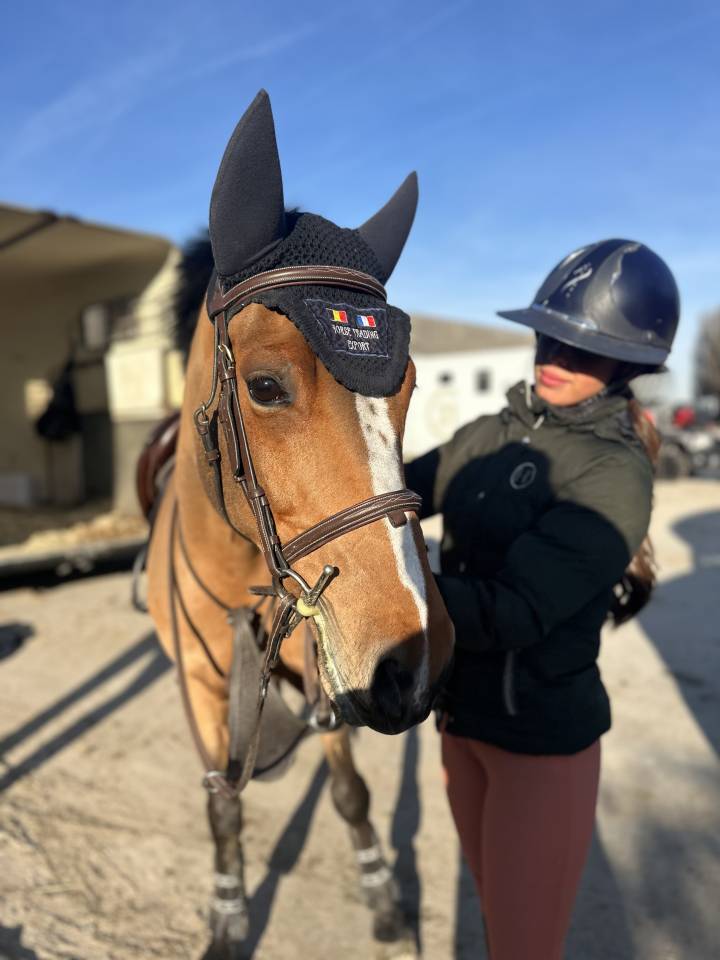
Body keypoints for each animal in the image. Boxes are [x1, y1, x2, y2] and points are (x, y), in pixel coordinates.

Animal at [144, 90, 454, 959]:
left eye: (408, 384)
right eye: (264, 385)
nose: (416, 654)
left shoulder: (333, 667)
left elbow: (349, 790)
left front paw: (382, 898)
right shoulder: (198, 681)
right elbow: (223, 803)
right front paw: (226, 915)